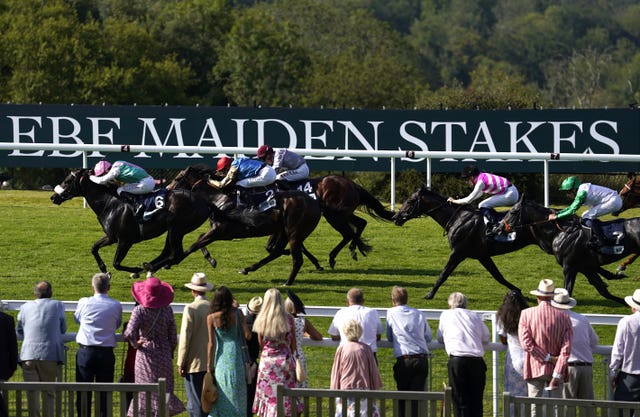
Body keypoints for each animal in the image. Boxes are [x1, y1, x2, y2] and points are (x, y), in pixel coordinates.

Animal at [50, 167, 210, 274]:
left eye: (67, 181)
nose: (53, 197)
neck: (109, 203)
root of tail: (204, 202)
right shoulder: (111, 237)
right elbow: (94, 248)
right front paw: (104, 270)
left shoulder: (125, 240)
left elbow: (116, 263)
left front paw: (135, 269)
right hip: (174, 230)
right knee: (170, 253)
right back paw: (150, 266)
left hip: (177, 229)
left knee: (175, 255)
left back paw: (149, 267)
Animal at [160, 164, 320, 284]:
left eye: (177, 178)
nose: (167, 190)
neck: (219, 198)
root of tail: (314, 203)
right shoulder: (216, 231)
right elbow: (199, 238)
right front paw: (211, 260)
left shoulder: (219, 231)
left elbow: (194, 245)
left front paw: (170, 262)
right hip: (284, 231)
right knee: (276, 251)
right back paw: (248, 269)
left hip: (294, 232)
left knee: (296, 259)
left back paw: (288, 282)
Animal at [392, 187, 536, 300]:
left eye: (410, 201)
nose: (395, 217)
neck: (458, 219)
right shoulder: (482, 255)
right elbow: (497, 275)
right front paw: (518, 291)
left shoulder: (458, 252)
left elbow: (443, 274)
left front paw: (429, 294)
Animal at [502, 197, 636, 304]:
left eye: (513, 212)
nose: (499, 228)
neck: (560, 232)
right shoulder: (585, 268)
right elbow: (604, 291)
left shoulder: (569, 267)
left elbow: (567, 291)